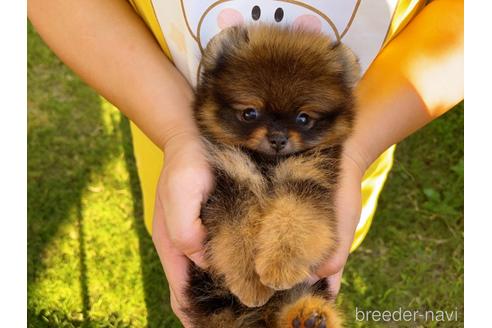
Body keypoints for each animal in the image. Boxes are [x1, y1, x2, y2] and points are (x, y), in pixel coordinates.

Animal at [184, 23, 362, 328]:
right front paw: (251, 282)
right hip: (210, 290)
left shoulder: (305, 181)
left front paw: (278, 267)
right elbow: (236, 235)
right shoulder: (231, 186)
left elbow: (294, 220)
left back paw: (309, 317)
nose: (278, 138)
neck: (267, 165)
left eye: (303, 118)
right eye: (249, 113)